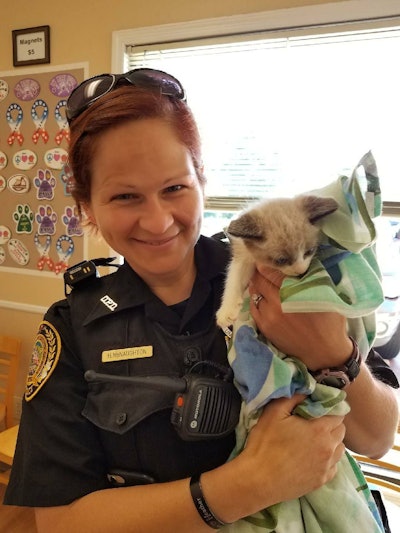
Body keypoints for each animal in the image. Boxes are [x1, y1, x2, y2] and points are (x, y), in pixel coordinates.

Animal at [216, 195, 338, 328]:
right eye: (281, 260)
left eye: (310, 251)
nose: (301, 272)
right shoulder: (243, 255)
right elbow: (235, 278)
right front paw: (226, 311)